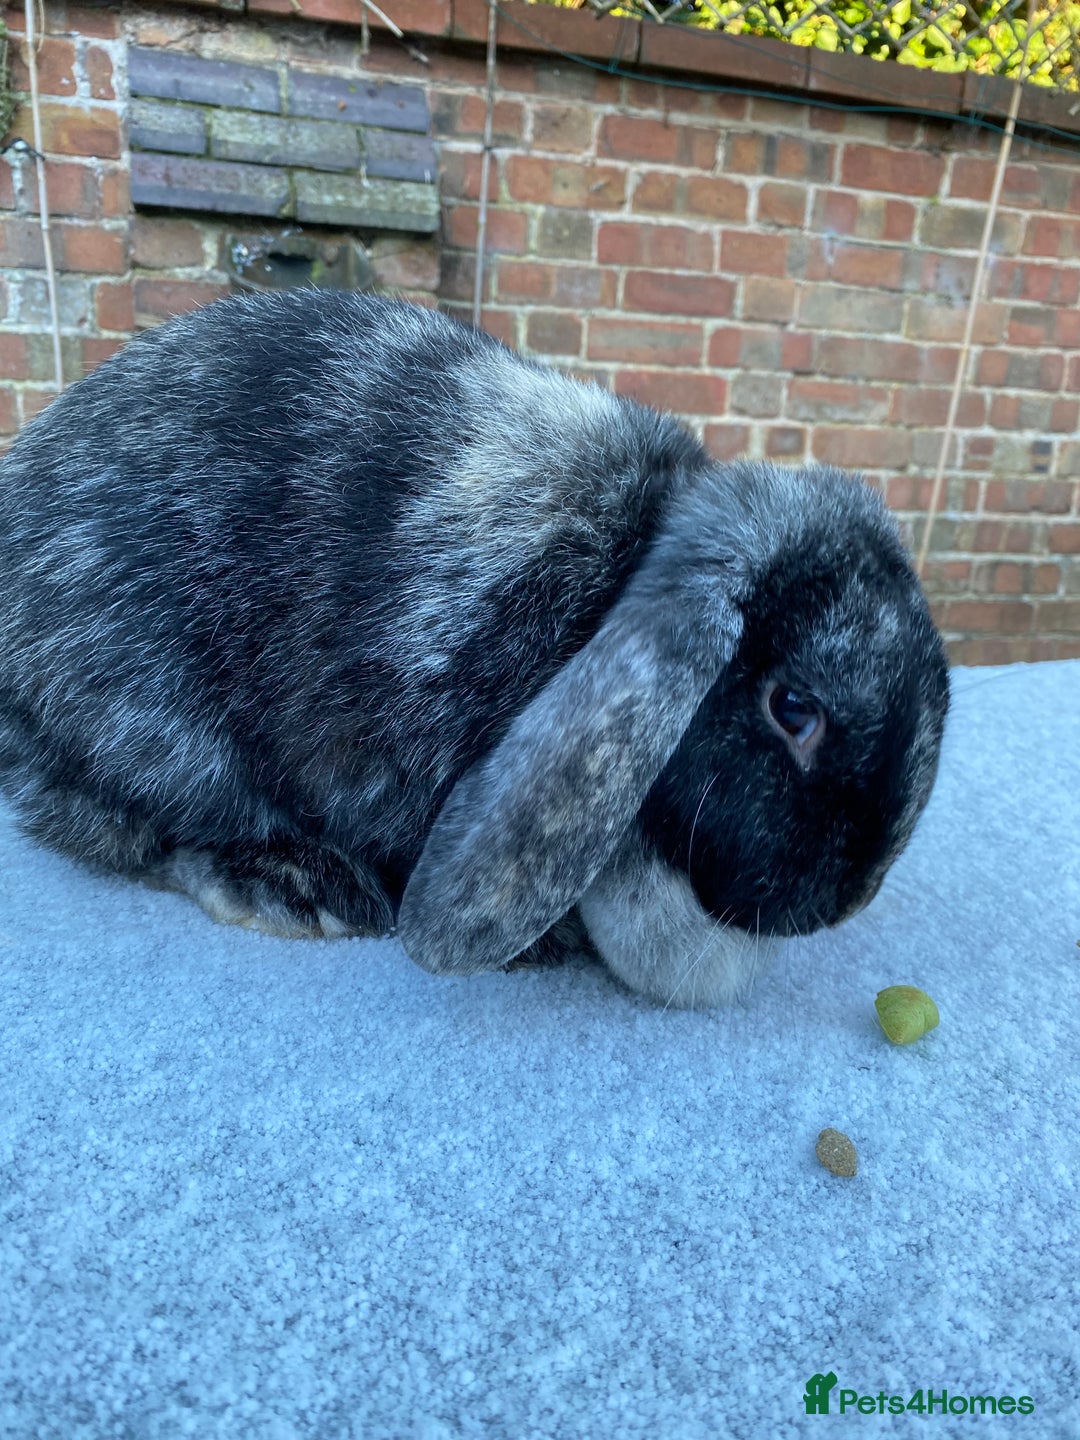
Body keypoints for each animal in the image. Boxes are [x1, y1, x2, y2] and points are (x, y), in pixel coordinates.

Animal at [0, 290, 949, 1007]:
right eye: (793, 709)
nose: (837, 905)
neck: (619, 573)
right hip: (155, 722)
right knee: (129, 825)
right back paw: (297, 888)